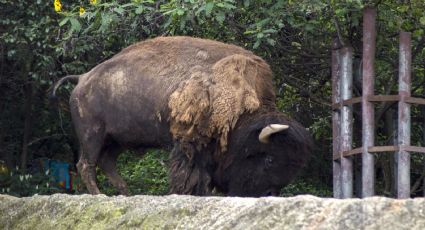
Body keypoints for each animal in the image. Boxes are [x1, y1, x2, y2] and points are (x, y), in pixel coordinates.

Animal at [52, 36, 312, 197]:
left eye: (294, 167)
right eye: (269, 159)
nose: (269, 194)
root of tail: (82, 78)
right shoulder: (189, 143)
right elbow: (190, 174)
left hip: (117, 140)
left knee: (107, 163)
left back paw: (126, 194)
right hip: (93, 135)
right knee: (86, 164)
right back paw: (101, 195)